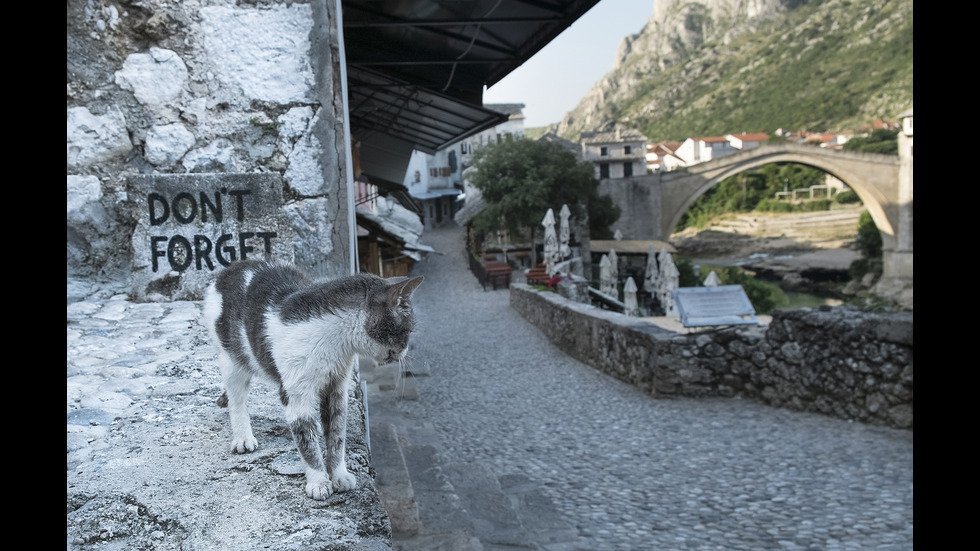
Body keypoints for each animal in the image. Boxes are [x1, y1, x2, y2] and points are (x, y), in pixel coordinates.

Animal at [203, 258, 422, 500]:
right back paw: (243, 437)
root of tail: (230, 270)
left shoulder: (337, 388)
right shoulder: (297, 395)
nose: (405, 351)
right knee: (237, 399)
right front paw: (318, 481)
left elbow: (336, 437)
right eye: (407, 330)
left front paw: (339, 475)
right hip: (232, 360)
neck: (335, 343)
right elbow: (306, 440)